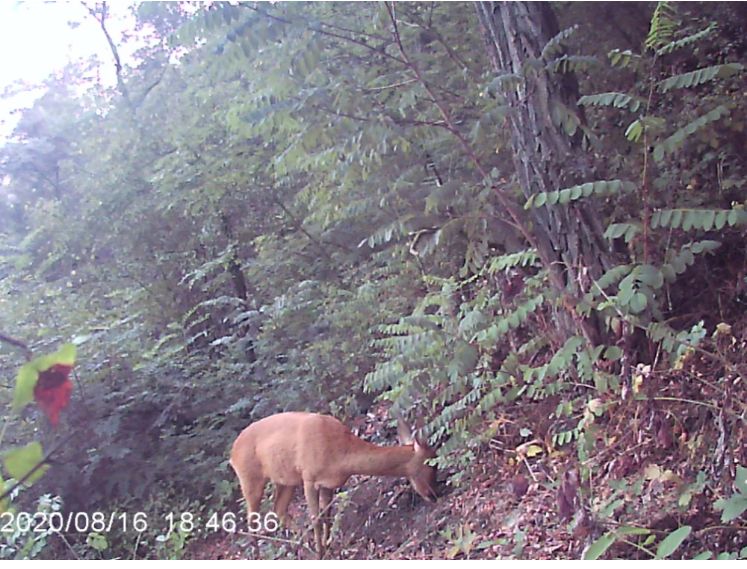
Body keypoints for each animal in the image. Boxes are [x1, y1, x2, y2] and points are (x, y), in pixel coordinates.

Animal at [228, 410, 438, 556]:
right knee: (251, 520)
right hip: (250, 477)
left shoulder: (328, 484)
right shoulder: (308, 476)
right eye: (430, 465)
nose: (434, 495)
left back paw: (303, 543)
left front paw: (327, 546)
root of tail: (232, 452)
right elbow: (316, 518)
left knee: (278, 509)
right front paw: (321, 553)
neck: (341, 454)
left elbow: (327, 516)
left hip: (285, 480)